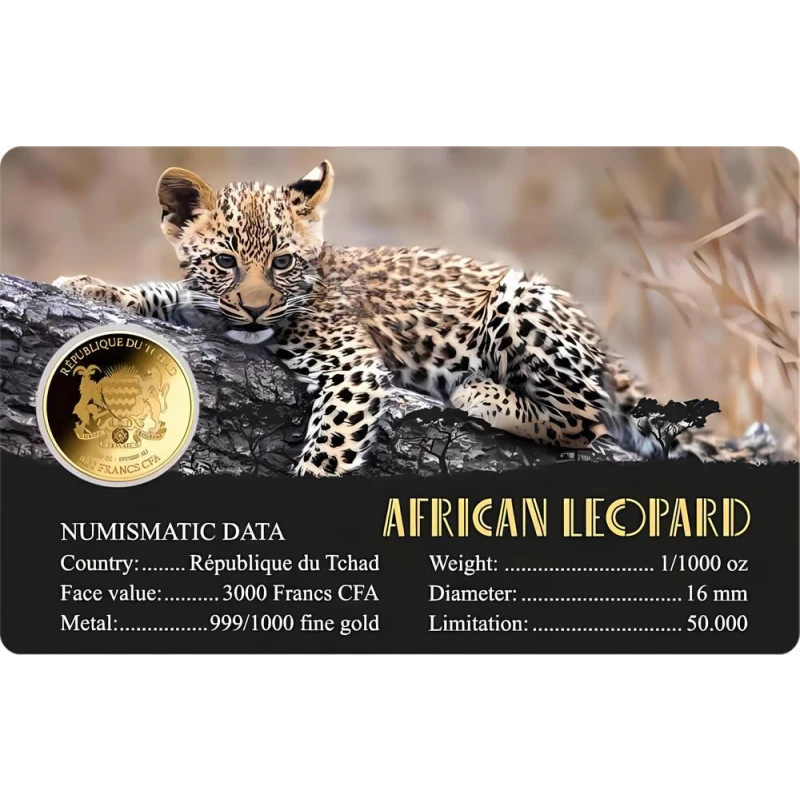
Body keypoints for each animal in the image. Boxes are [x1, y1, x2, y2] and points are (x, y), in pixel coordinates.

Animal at [54, 160, 775, 475]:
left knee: (585, 418)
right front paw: (92, 286)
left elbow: (326, 456)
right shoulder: (212, 310)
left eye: (283, 262)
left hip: (519, 299)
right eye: (226, 263)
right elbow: (169, 294)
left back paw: (484, 393)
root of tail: (603, 346)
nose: (257, 305)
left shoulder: (352, 369)